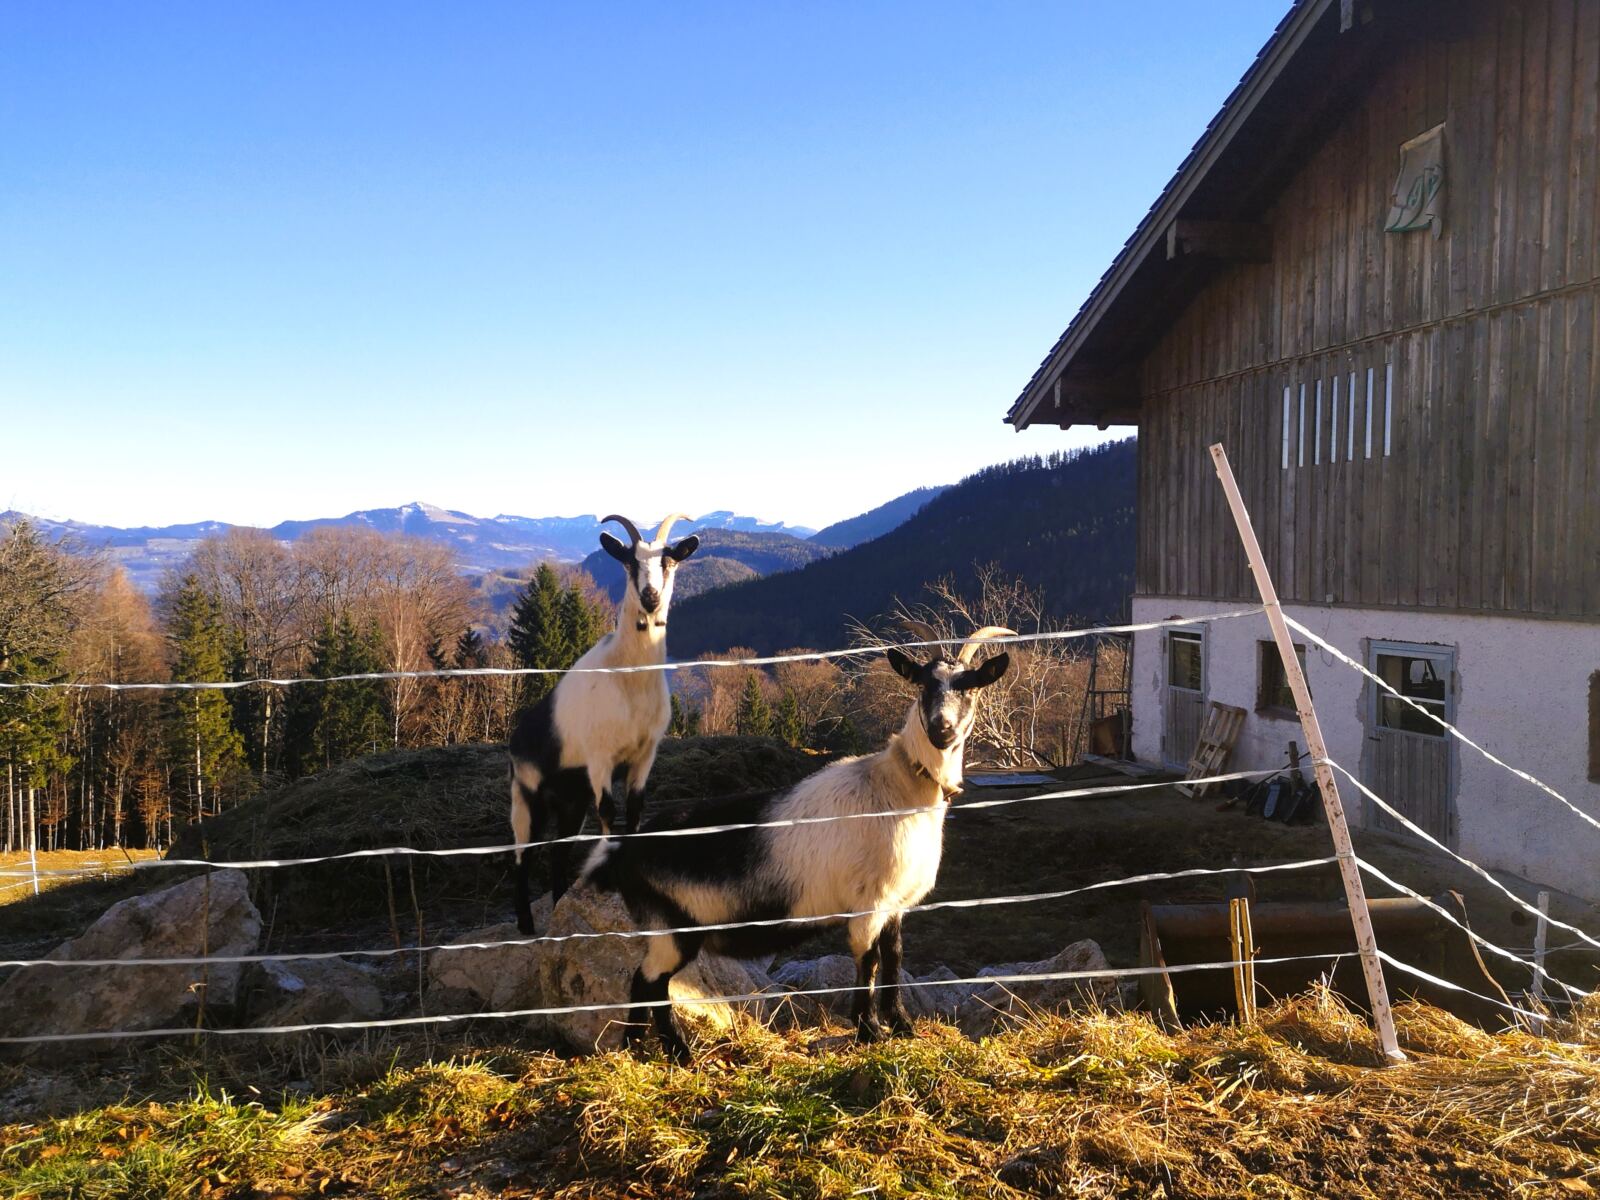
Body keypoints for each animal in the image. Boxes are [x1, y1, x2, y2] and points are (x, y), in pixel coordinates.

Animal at [507, 513, 700, 929]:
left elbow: (636, 809)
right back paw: (527, 925)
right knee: (522, 855)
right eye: (628, 561)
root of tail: (517, 737)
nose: (650, 598)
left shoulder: (644, 755)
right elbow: (610, 813)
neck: (628, 678)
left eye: (669, 561)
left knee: (558, 851)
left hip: (570, 801)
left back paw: (559, 902)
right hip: (526, 795)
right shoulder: (600, 759)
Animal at [582, 625, 1015, 1062]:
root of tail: (625, 850)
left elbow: (893, 958)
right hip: (672, 927)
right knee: (651, 982)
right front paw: (870, 1031)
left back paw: (635, 1049)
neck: (899, 786)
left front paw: (902, 1027)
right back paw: (679, 1054)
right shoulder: (869, 903)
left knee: (642, 983)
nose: (941, 729)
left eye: (970, 686)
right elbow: (869, 962)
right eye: (923, 685)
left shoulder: (897, 903)